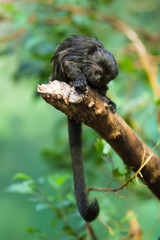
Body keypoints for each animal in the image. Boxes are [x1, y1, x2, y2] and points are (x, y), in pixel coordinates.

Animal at [51, 34, 119, 222]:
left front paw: (108, 99)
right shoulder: (82, 53)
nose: (96, 79)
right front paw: (80, 79)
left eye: (103, 77)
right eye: (98, 72)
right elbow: (66, 60)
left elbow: (104, 88)